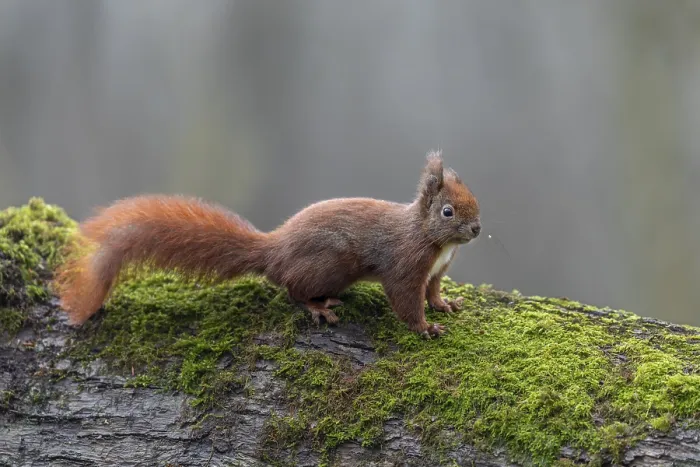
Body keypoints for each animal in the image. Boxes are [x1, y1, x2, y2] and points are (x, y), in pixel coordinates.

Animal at [54, 151, 481, 338]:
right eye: (447, 212)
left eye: (476, 201)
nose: (477, 229)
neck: (427, 234)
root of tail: (273, 251)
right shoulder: (404, 266)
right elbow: (406, 300)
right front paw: (425, 328)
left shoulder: (435, 271)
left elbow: (433, 292)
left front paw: (446, 305)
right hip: (330, 265)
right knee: (291, 289)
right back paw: (318, 307)